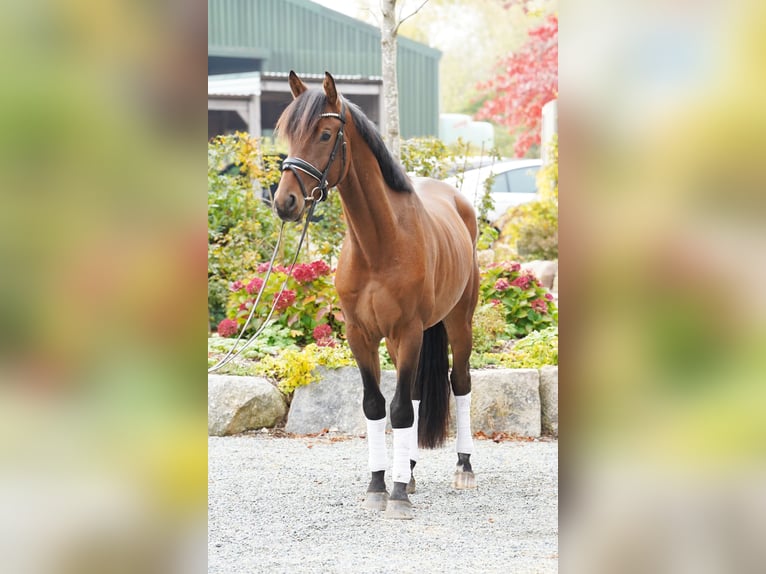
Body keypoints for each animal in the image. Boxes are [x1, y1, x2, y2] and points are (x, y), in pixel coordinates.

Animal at [274, 72, 480, 520]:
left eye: (325, 134)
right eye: (289, 134)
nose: (285, 202)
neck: (379, 243)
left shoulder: (407, 331)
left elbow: (399, 409)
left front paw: (397, 495)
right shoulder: (360, 334)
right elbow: (376, 405)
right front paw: (378, 485)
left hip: (458, 322)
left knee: (459, 383)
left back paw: (463, 468)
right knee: (416, 394)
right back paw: (412, 470)